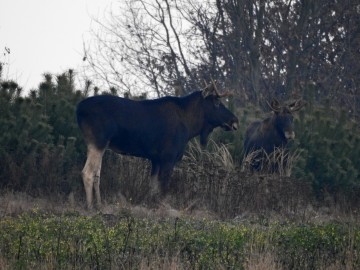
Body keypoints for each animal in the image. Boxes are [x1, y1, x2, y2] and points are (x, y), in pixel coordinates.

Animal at [76, 80, 239, 209]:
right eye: (217, 102)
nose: (235, 121)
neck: (190, 126)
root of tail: (78, 109)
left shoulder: (155, 159)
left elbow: (153, 187)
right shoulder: (168, 156)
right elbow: (163, 189)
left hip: (99, 144)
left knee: (97, 174)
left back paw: (99, 204)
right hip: (98, 141)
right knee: (87, 173)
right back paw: (90, 207)